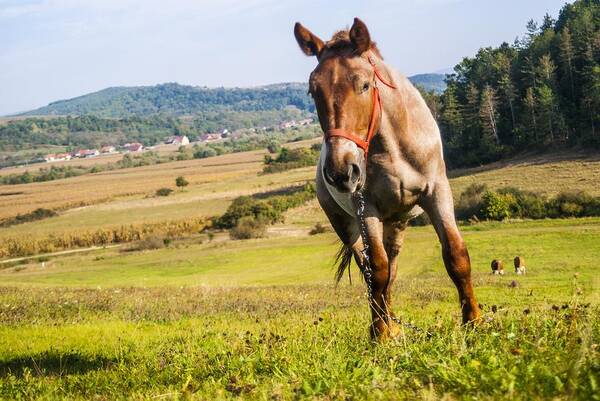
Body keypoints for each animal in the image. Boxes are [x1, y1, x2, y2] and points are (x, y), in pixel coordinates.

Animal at [292, 17, 480, 340]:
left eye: (365, 84)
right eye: (313, 91)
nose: (341, 172)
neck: (393, 146)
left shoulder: (437, 193)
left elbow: (456, 256)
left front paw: (474, 322)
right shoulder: (366, 208)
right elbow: (376, 271)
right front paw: (379, 335)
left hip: (398, 222)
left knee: (391, 269)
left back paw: (393, 323)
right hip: (349, 226)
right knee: (371, 270)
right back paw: (385, 325)